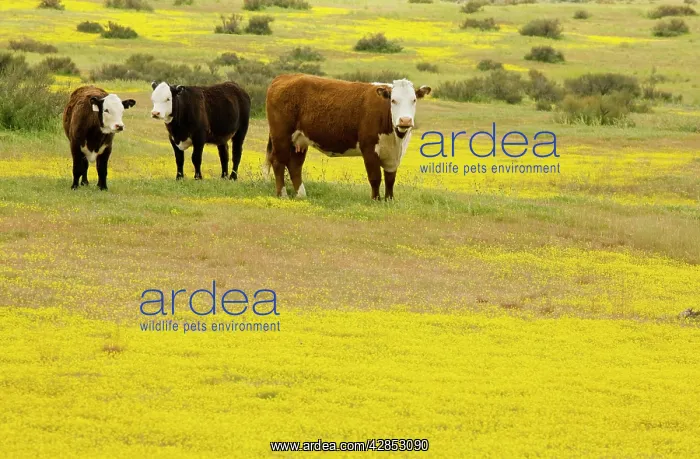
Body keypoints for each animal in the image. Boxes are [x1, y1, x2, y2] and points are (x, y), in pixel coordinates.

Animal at [264, 74, 431, 200]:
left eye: (414, 100)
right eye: (393, 100)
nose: (405, 120)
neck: (395, 139)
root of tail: (284, 77)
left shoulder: (394, 155)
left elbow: (390, 179)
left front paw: (389, 200)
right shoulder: (369, 149)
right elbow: (375, 177)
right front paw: (376, 200)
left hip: (300, 140)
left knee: (295, 166)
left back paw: (301, 195)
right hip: (281, 136)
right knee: (278, 162)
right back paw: (283, 194)